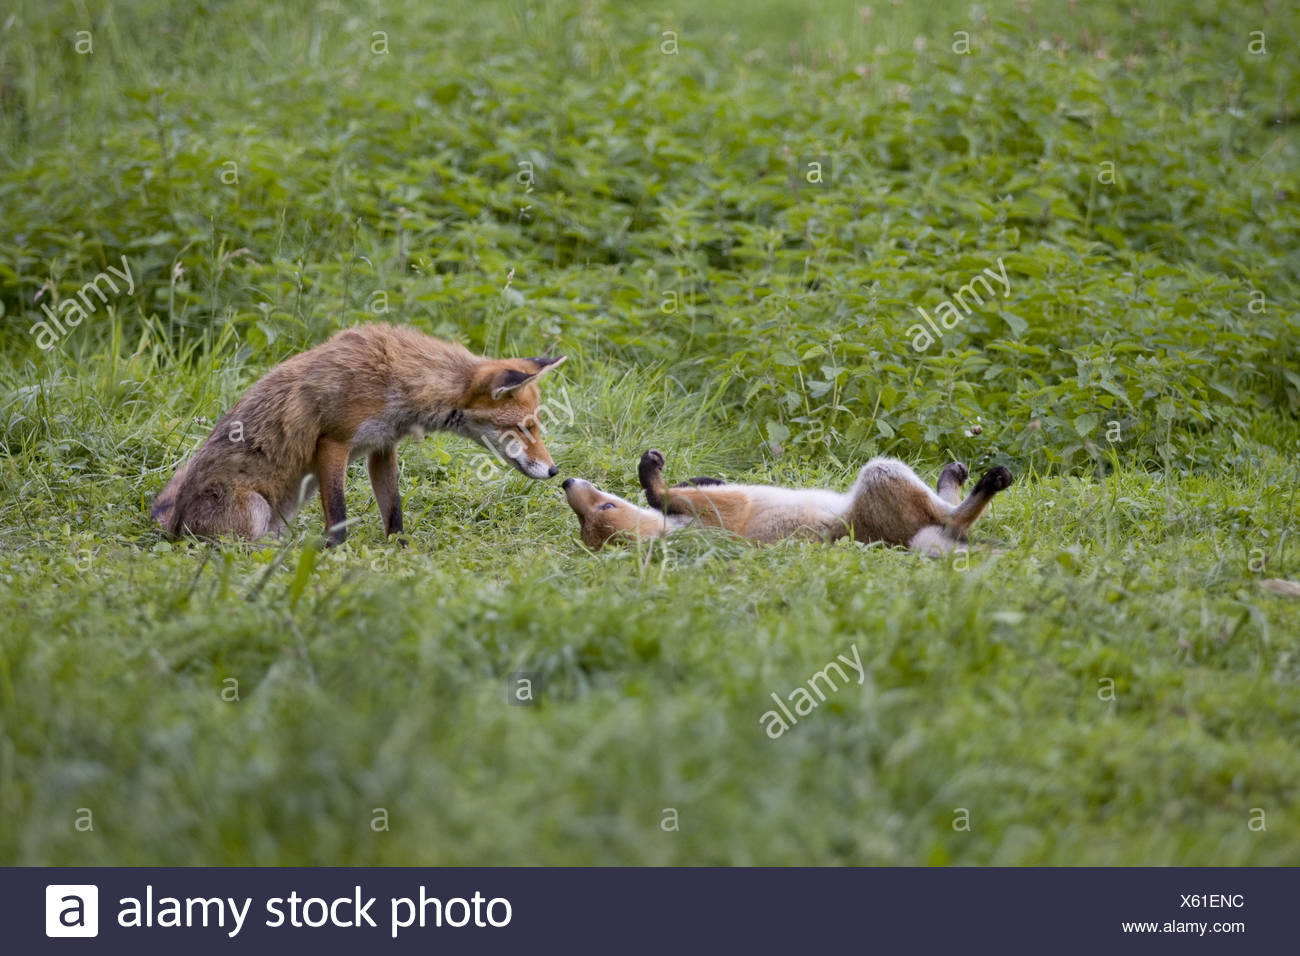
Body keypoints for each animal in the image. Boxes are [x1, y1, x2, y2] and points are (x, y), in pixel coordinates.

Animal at [151, 323, 566, 544]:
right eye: (524, 427)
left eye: (535, 425)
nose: (554, 471)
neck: (396, 381)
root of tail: (172, 525)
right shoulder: (333, 442)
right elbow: (338, 513)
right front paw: (335, 554)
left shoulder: (382, 446)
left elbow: (393, 508)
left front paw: (400, 549)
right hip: (255, 508)